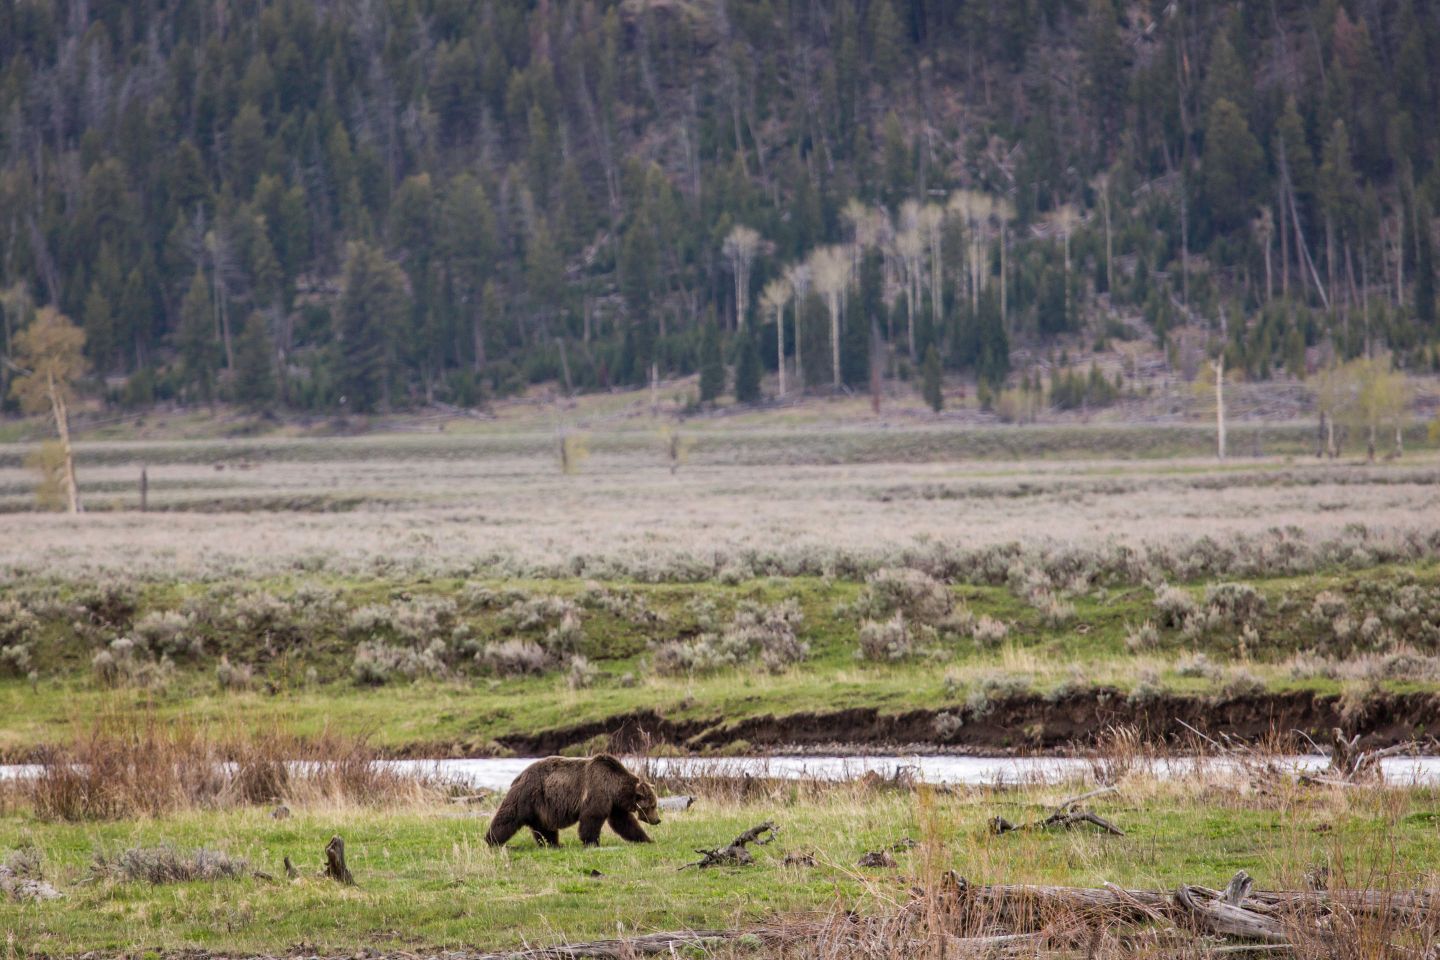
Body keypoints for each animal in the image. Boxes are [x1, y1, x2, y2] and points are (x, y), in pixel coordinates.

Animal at [483, 759, 662, 846]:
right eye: (653, 805)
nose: (657, 820)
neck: (614, 788)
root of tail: (520, 775)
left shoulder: (615, 805)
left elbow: (625, 823)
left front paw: (646, 839)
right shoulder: (598, 792)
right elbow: (592, 817)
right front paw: (592, 841)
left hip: (541, 808)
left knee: (544, 828)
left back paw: (553, 843)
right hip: (529, 795)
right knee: (508, 817)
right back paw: (491, 840)